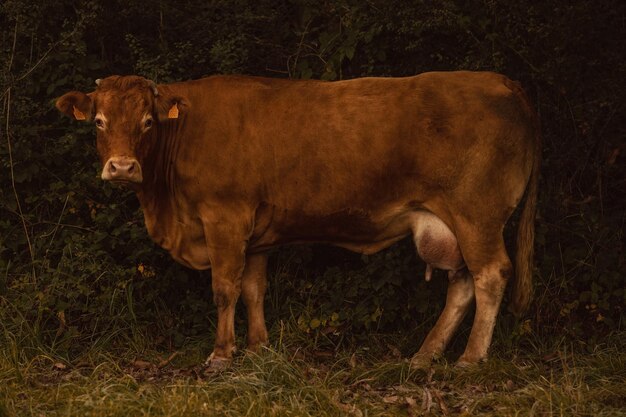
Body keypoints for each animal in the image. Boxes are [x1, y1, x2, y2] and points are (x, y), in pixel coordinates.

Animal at [56, 72, 540, 368]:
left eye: (147, 121)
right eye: (98, 121)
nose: (122, 167)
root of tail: (499, 80)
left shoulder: (224, 216)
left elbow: (225, 288)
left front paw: (221, 355)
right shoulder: (256, 233)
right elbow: (253, 288)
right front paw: (258, 348)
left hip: (477, 214)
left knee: (490, 275)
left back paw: (469, 359)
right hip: (452, 223)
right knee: (461, 284)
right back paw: (425, 356)